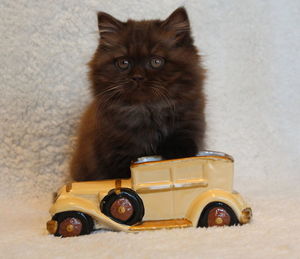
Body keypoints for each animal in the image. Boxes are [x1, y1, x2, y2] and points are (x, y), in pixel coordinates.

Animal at [70, 7, 206, 182]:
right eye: (123, 63)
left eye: (156, 61)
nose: (137, 77)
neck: (148, 110)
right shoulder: (116, 153)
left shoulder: (192, 120)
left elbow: (184, 139)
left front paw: (177, 153)